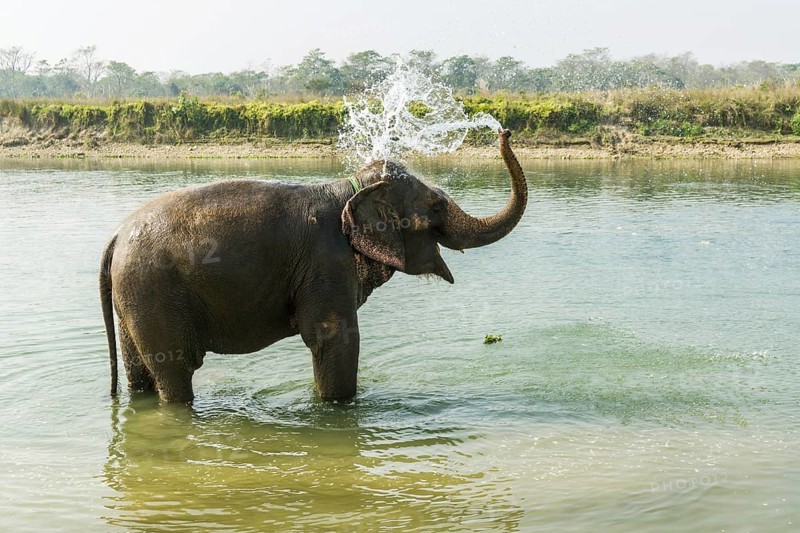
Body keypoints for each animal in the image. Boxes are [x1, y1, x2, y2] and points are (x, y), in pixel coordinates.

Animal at [100, 129, 527, 403]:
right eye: (436, 207)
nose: (504, 130)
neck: (349, 187)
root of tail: (115, 238)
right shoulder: (326, 262)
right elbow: (335, 337)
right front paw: (338, 410)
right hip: (155, 294)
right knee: (176, 370)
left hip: (133, 299)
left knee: (139, 371)